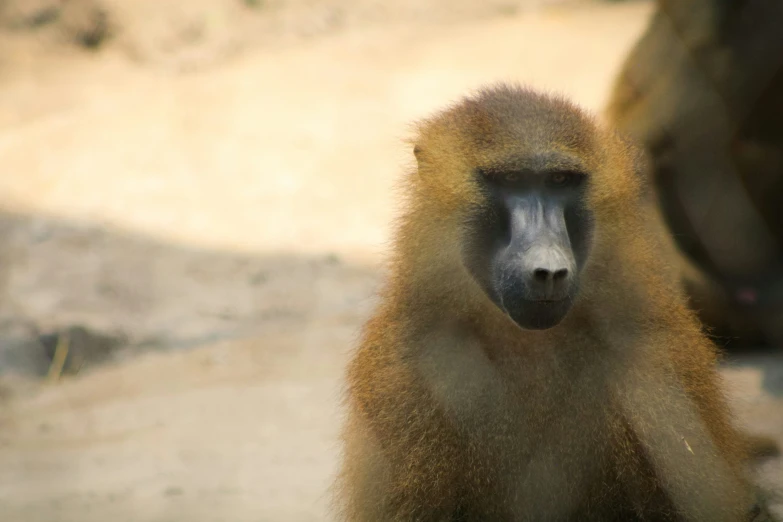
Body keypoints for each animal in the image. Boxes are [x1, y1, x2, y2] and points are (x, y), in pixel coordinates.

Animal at [330, 83, 772, 516]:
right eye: (510, 179)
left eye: (560, 180)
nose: (549, 271)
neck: (527, 343)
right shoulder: (406, 369)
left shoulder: (657, 357)